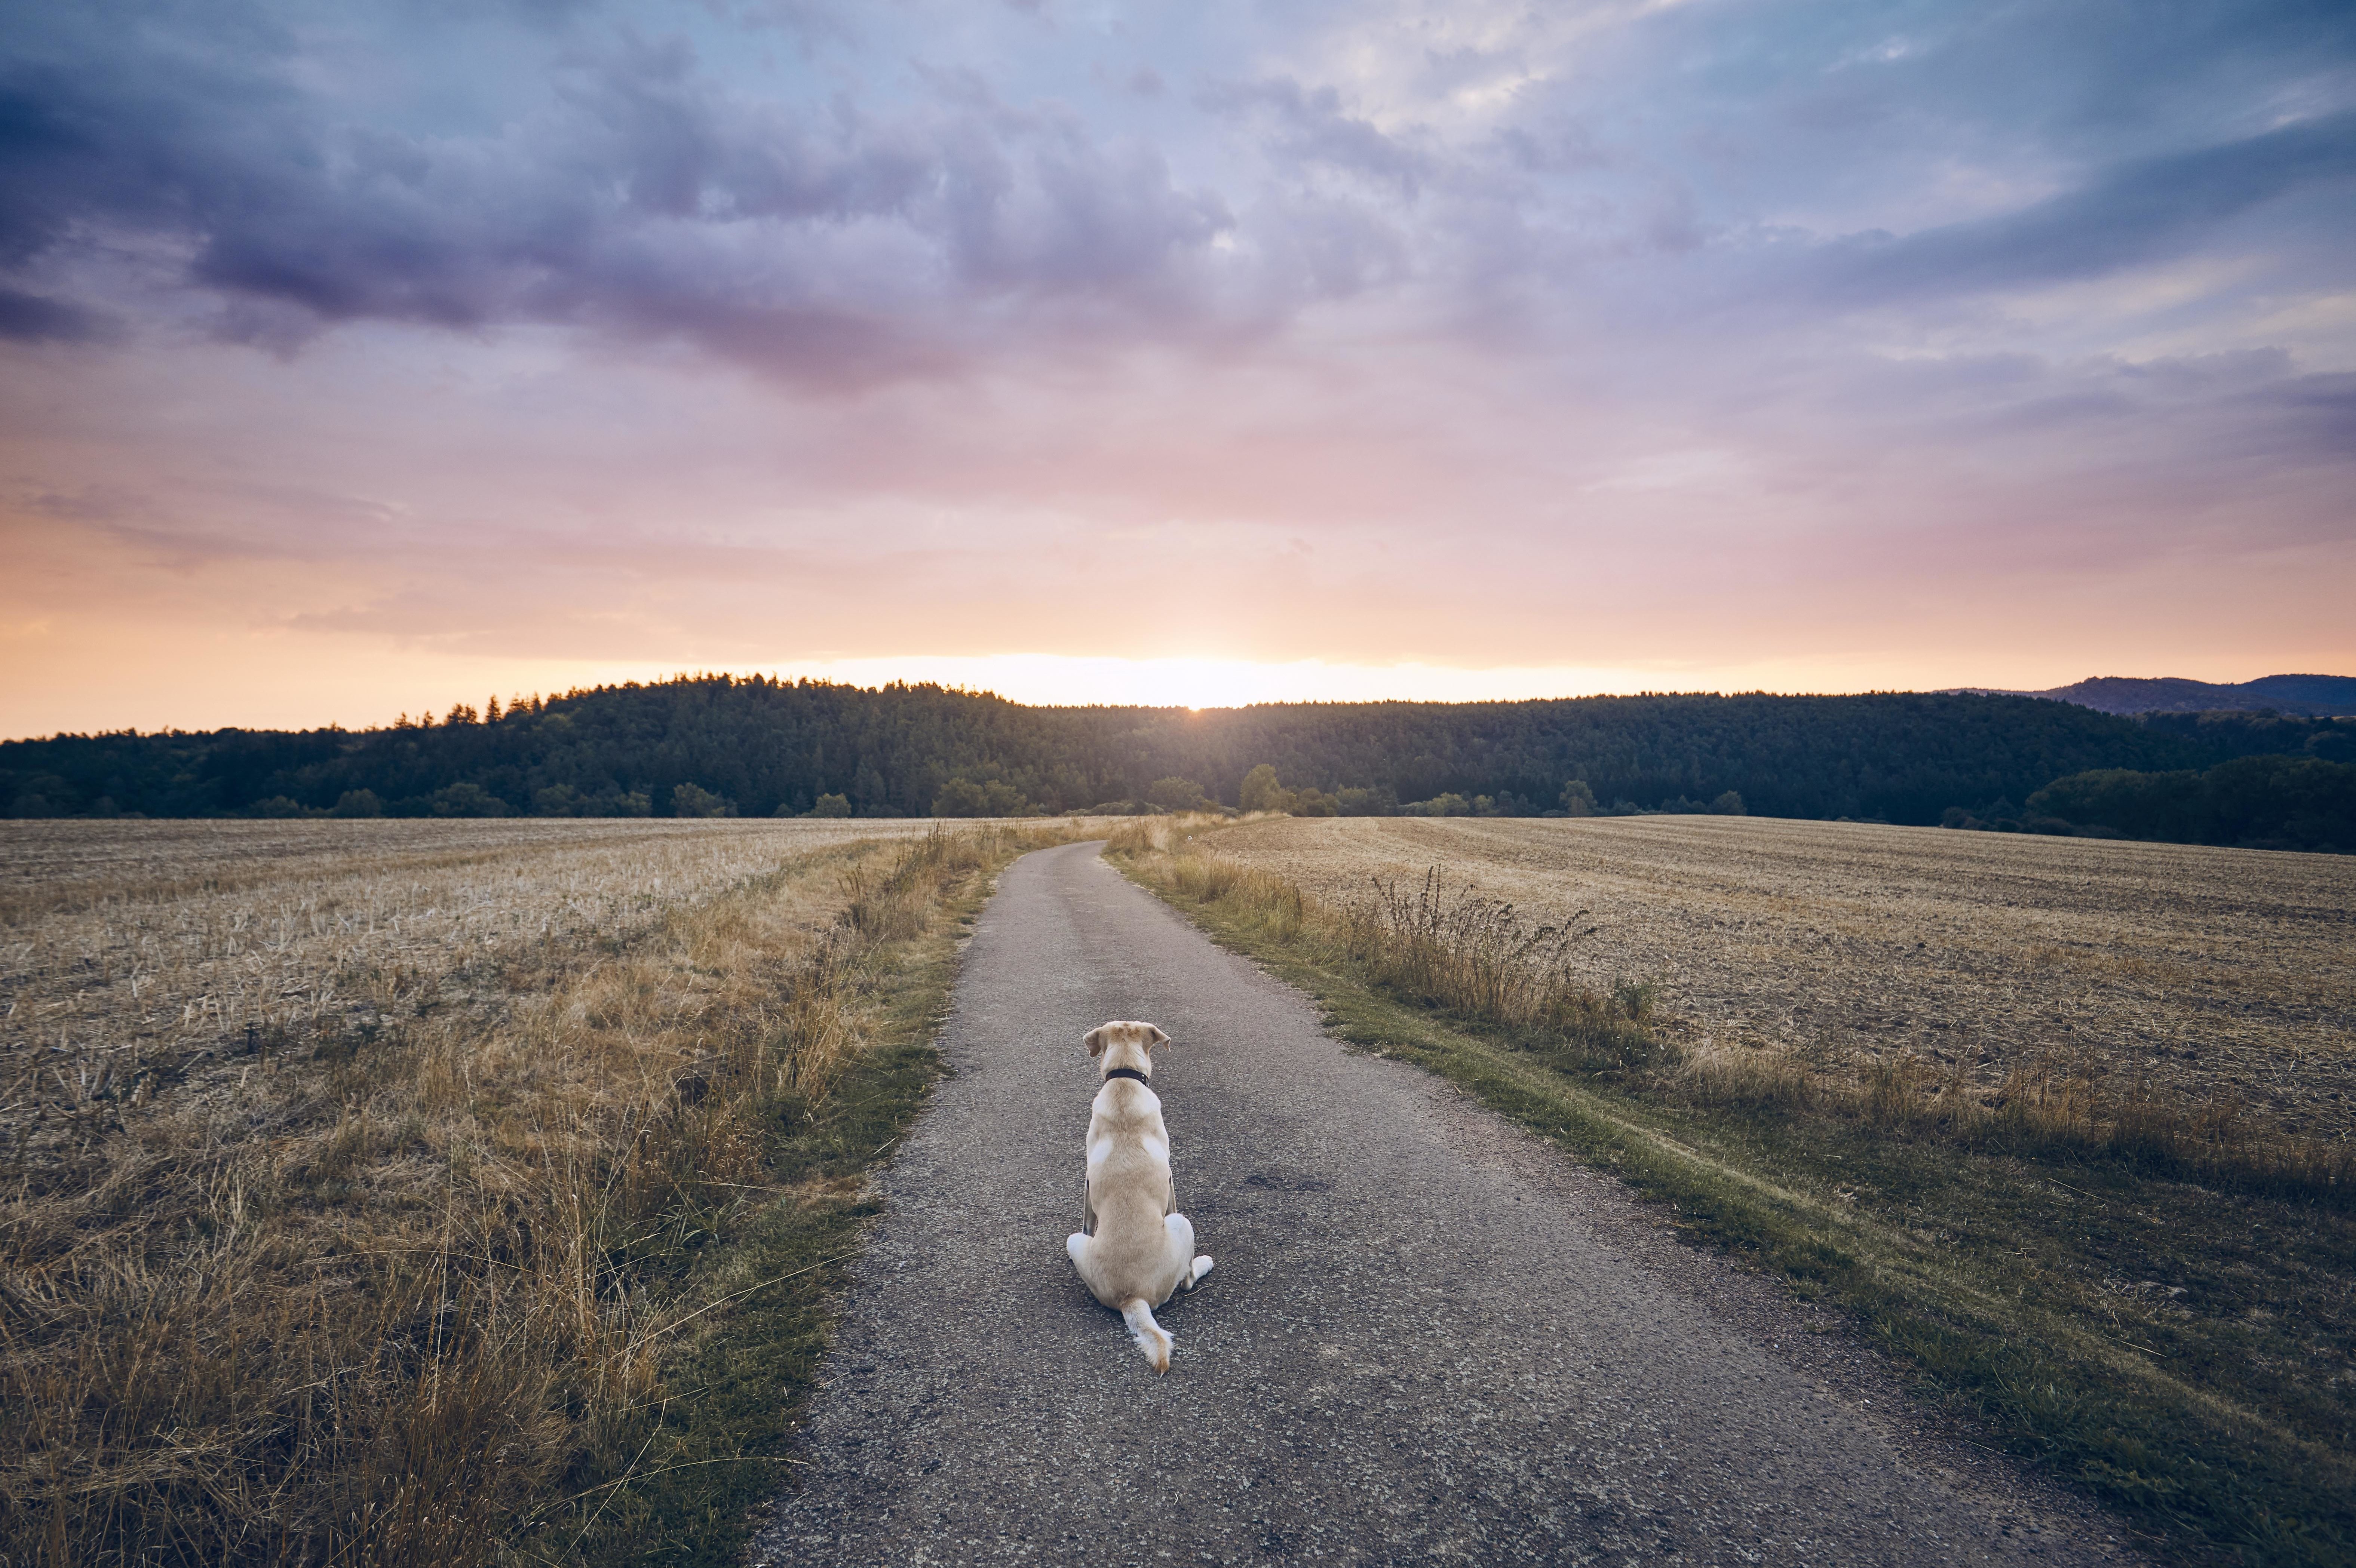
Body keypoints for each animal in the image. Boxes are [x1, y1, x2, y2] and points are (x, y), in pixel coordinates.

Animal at [1070, 1012, 1215, 1365]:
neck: (1124, 1082)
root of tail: (1131, 1297)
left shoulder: (1087, 1182)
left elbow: (1088, 1215)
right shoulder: (1171, 1180)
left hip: (1074, 1240)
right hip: (1183, 1224)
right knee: (1187, 1280)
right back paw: (1204, 1264)